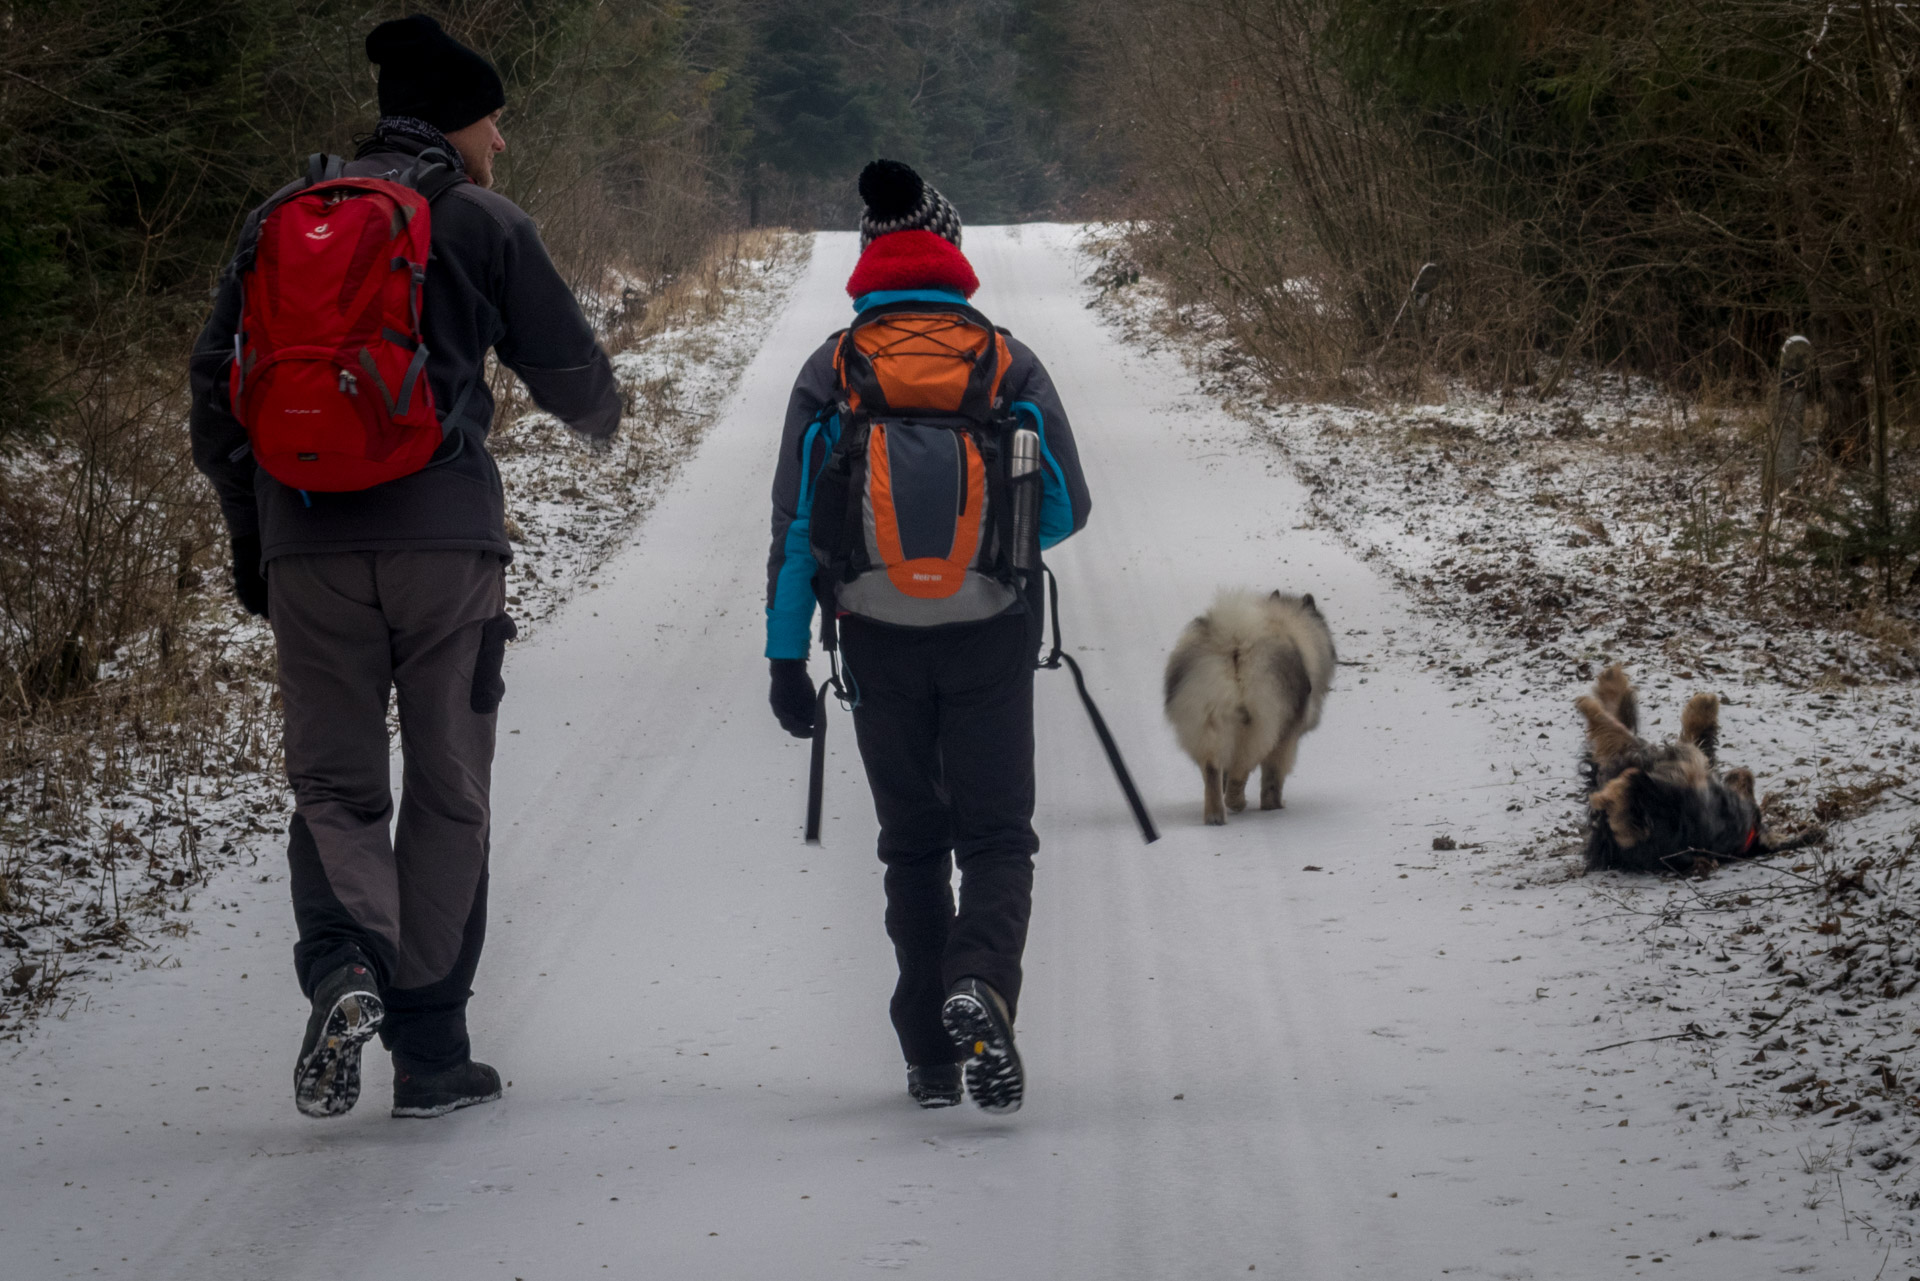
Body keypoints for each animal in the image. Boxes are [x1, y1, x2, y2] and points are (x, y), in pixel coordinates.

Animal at [1167, 595, 1336, 825]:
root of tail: (1234, 645)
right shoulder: (1285, 738)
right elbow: (1273, 777)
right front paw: (1273, 806)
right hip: (1260, 725)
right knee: (1240, 770)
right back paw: (1236, 803)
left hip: (1206, 721)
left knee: (1212, 770)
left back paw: (1215, 815)